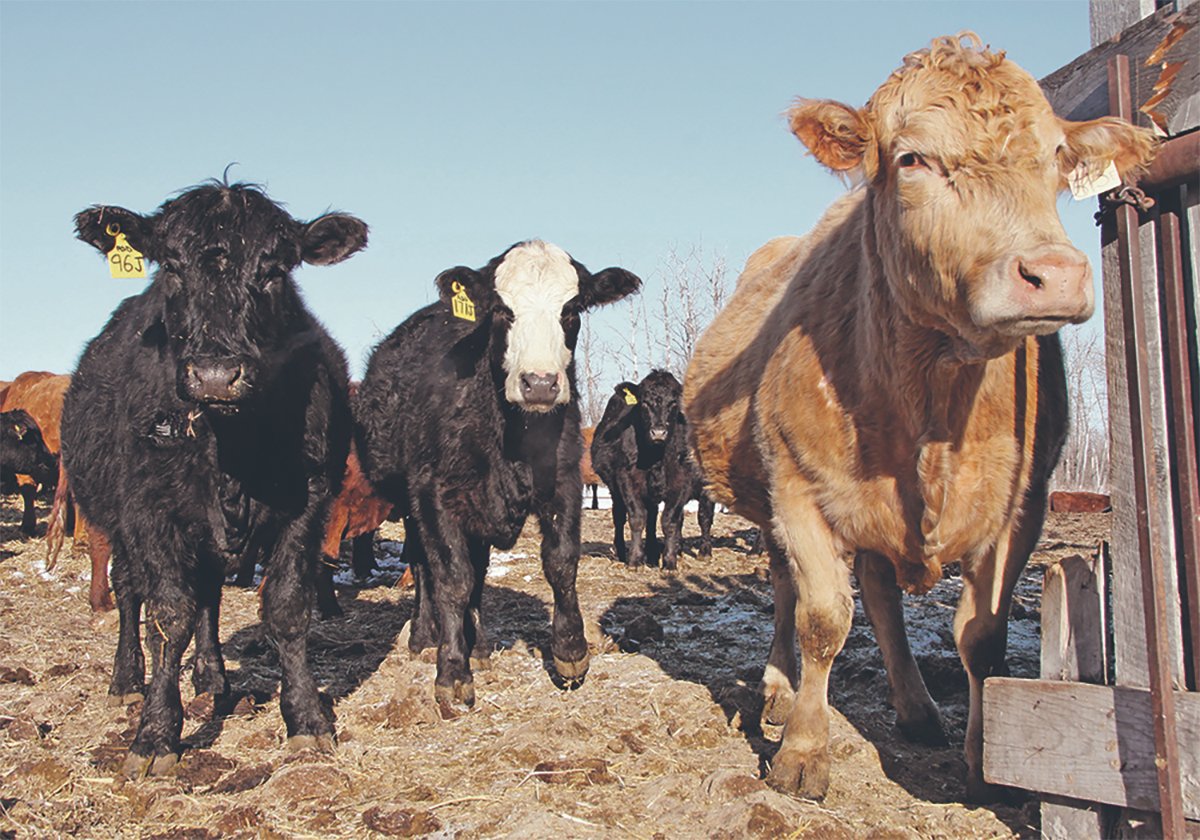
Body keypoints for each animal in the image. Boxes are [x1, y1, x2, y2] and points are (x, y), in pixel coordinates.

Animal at [61, 180, 368, 777]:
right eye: (172, 266)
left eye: (274, 269)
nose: (215, 376)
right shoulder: (148, 511)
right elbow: (168, 616)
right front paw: (156, 734)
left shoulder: (307, 502)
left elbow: (286, 607)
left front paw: (306, 719)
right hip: (117, 521)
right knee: (130, 592)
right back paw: (127, 680)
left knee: (208, 595)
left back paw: (211, 677)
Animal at [355, 240, 640, 713]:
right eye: (503, 310)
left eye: (572, 308)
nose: (540, 383)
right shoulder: (434, 495)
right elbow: (452, 579)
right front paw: (452, 673)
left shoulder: (564, 480)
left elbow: (560, 562)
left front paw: (570, 652)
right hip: (411, 503)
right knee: (424, 565)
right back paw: (424, 637)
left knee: (479, 571)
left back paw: (481, 646)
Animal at [590, 370, 714, 570]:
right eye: (644, 402)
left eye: (673, 402)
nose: (658, 432)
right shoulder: (626, 480)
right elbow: (637, 518)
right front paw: (634, 560)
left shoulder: (682, 482)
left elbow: (670, 521)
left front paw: (670, 562)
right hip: (615, 489)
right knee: (621, 517)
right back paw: (627, 552)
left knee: (702, 516)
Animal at [683, 32, 1156, 801]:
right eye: (911, 159)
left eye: (1059, 156)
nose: (1054, 273)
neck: (935, 394)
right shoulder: (798, 491)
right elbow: (822, 619)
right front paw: (803, 750)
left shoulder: (1023, 505)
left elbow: (982, 635)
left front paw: (985, 759)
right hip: (767, 500)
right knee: (787, 589)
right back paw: (780, 693)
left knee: (880, 592)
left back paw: (915, 707)